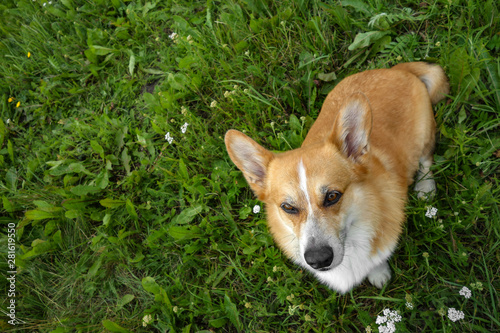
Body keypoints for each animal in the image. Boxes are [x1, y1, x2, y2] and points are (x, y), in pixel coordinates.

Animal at [227, 62, 450, 294]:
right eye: (288, 207)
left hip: (424, 135)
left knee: (426, 158)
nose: (318, 260)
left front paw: (379, 273)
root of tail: (396, 69)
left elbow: (376, 260)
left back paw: (425, 187)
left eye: (333, 196)